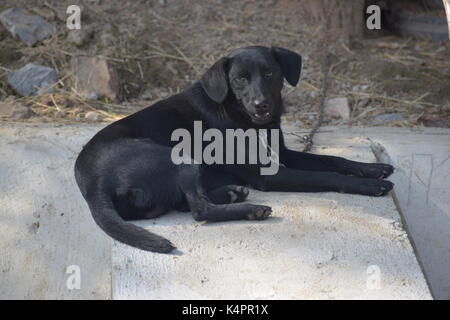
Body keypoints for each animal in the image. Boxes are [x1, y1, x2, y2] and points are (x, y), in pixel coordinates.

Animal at [74, 46, 394, 254]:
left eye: (269, 73)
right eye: (239, 78)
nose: (261, 105)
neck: (242, 117)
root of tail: (93, 185)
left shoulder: (283, 154)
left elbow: (331, 158)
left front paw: (373, 168)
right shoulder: (267, 174)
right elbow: (326, 176)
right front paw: (368, 185)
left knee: (184, 203)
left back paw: (231, 193)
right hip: (178, 158)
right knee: (198, 210)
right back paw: (250, 209)